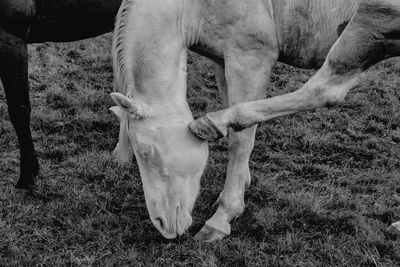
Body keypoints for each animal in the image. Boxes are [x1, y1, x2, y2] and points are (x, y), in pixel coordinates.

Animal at [110, 0, 400, 242]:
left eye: (146, 153)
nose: (162, 224)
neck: (191, 6)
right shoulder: (222, 59)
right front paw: (242, 182)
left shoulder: (249, 58)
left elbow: (240, 141)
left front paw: (224, 215)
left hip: (372, 19)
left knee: (327, 88)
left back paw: (211, 123)